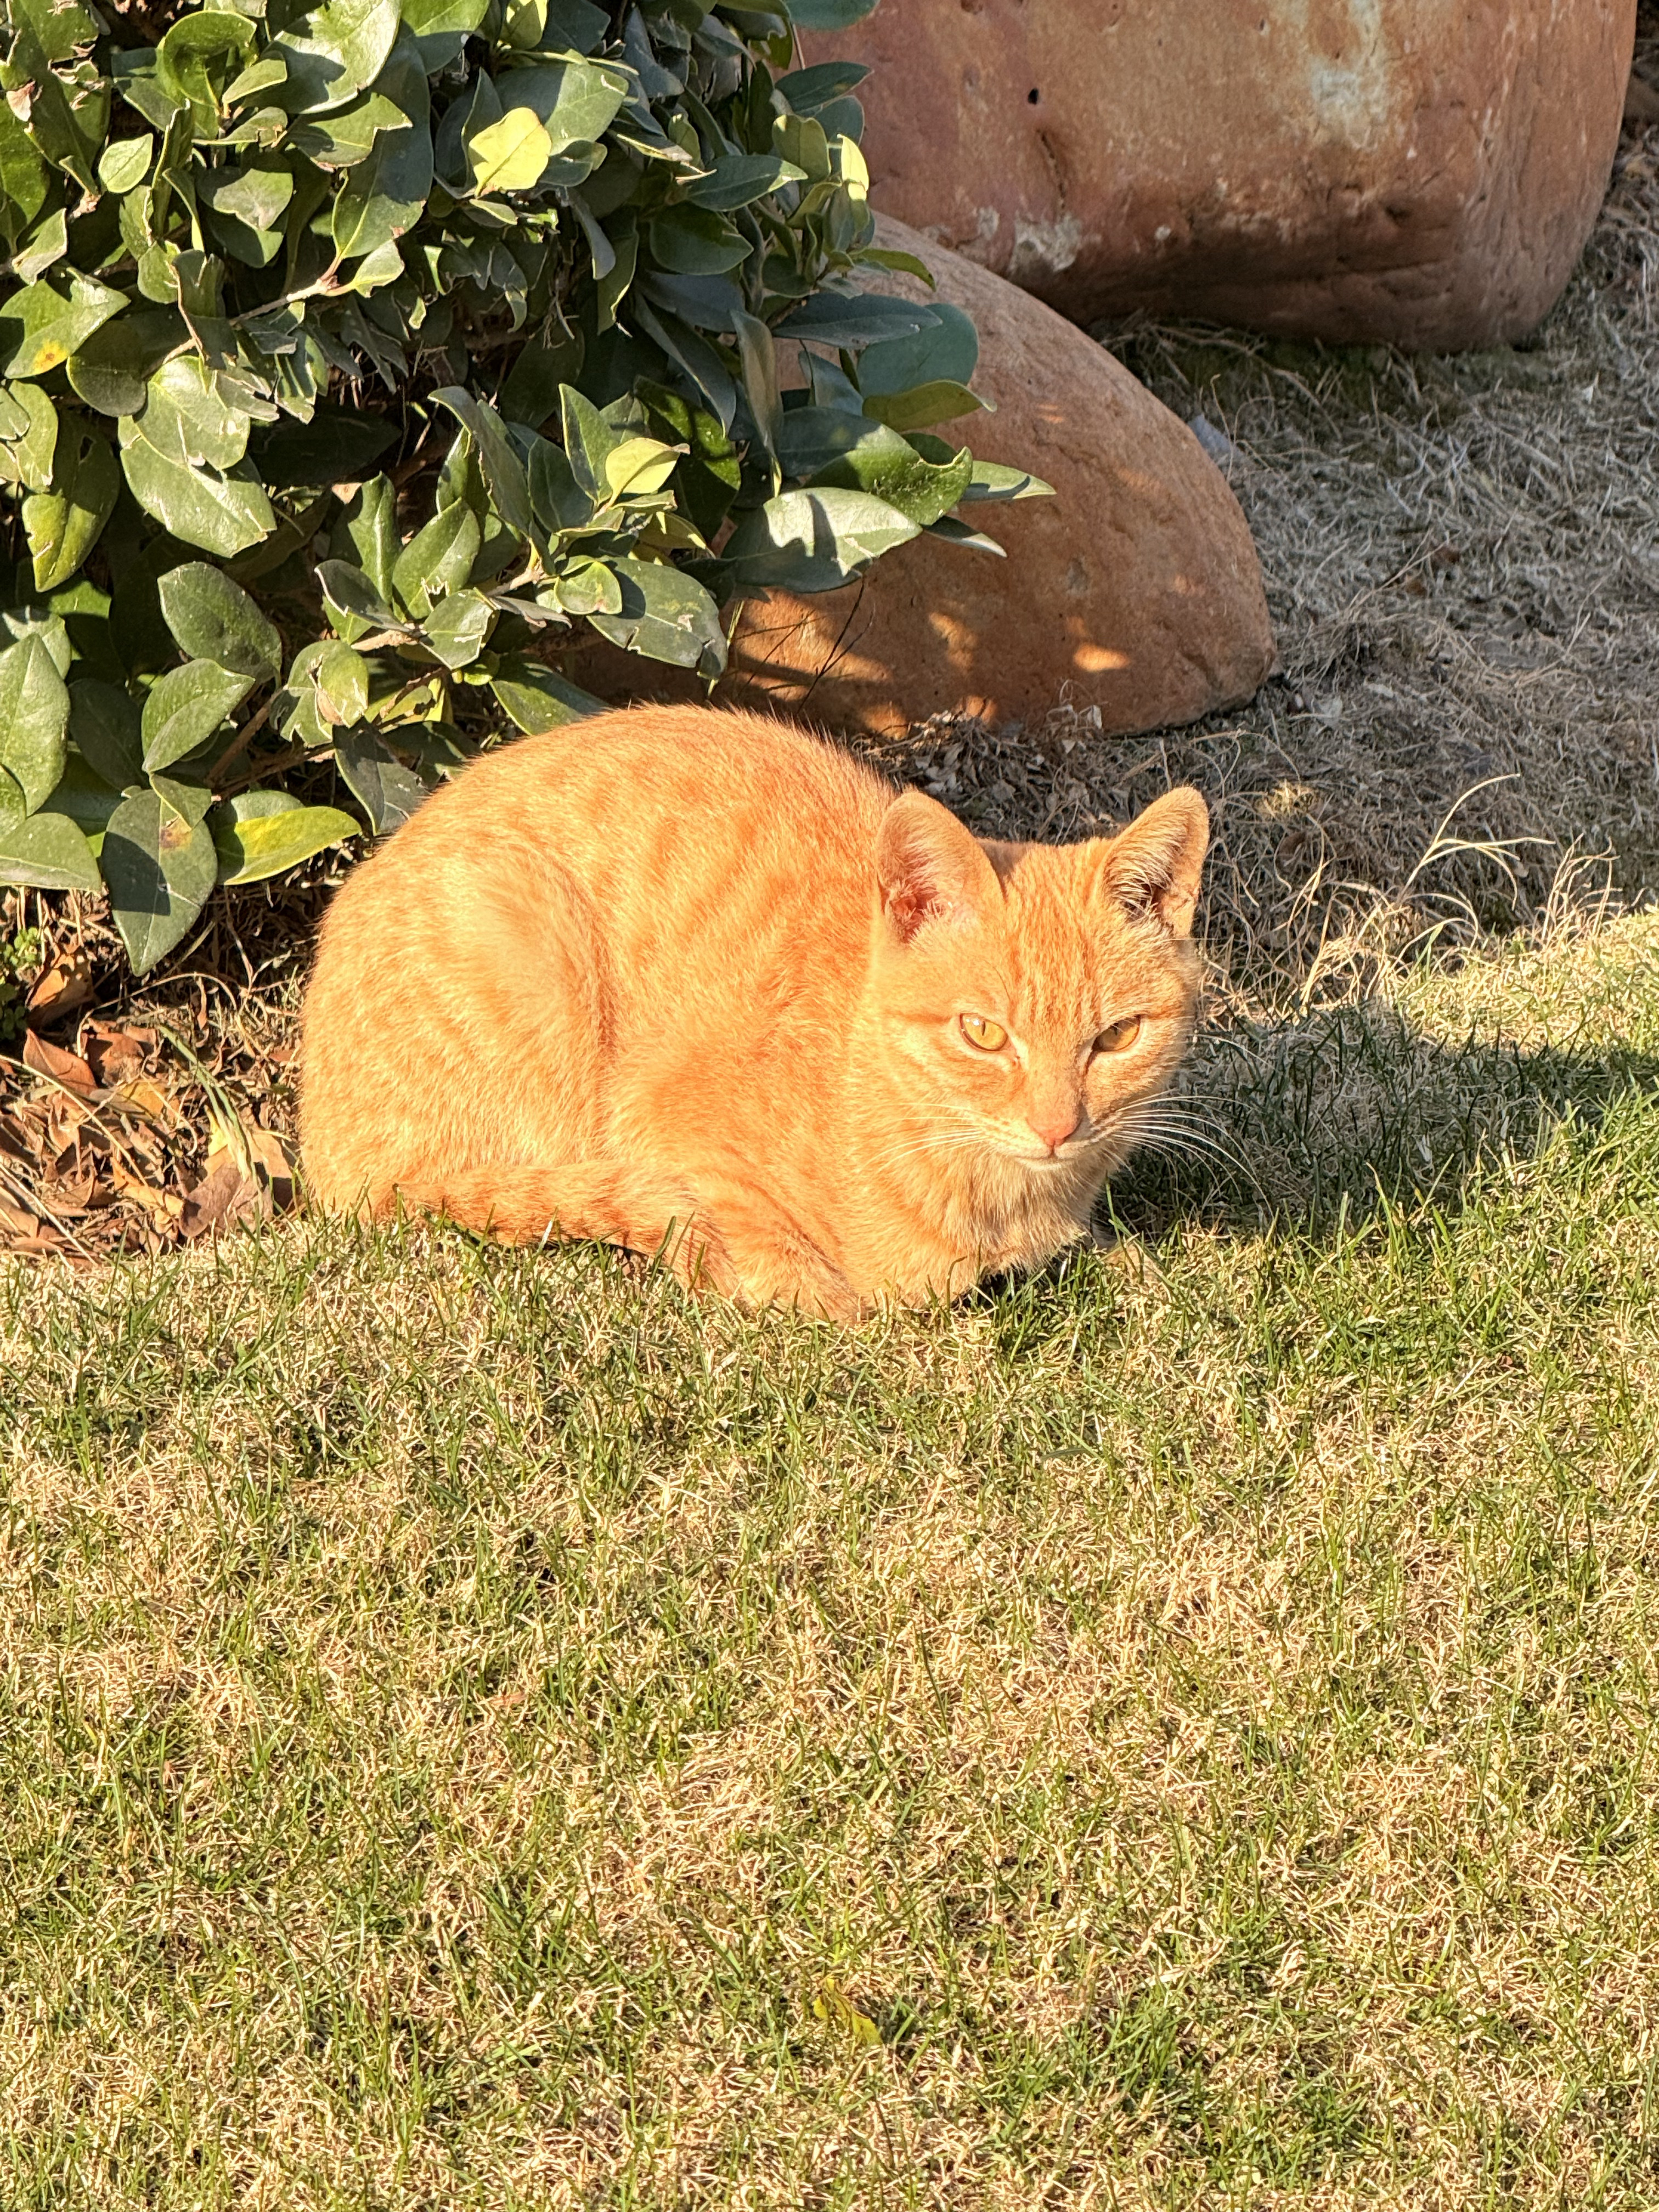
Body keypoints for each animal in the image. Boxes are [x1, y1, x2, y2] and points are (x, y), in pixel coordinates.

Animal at [298, 708, 1212, 1318]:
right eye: (983, 1034)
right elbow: (790, 1274)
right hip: (525, 938)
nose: (1057, 1129)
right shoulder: (663, 1125)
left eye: (1117, 1037)